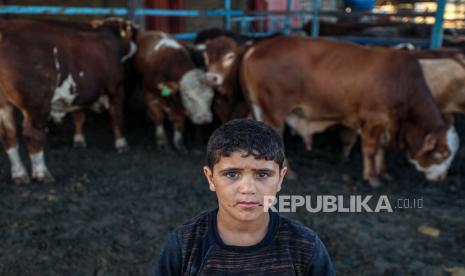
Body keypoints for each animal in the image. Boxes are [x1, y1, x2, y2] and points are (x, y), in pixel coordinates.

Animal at [0, 18, 137, 184]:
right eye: (133, 33)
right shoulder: (116, 87)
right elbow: (116, 117)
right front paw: (121, 143)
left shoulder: (78, 92)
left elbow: (79, 115)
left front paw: (79, 140)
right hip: (37, 103)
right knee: (33, 134)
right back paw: (42, 173)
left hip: (4, 104)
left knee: (8, 134)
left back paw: (19, 174)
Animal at [203, 35, 456, 188]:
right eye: (442, 153)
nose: (442, 178)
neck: (402, 83)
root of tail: (257, 46)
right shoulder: (374, 120)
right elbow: (371, 149)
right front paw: (372, 177)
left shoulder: (387, 123)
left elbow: (382, 150)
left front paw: (383, 172)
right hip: (275, 110)